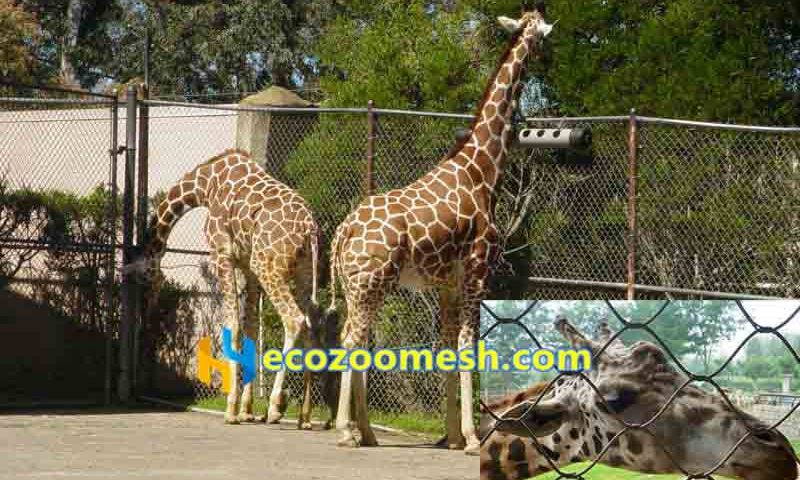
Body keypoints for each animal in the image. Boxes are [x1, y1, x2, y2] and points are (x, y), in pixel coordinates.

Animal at [131, 149, 337, 428]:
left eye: (145, 281)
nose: (147, 312)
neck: (206, 185)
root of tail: (310, 229)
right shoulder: (248, 267)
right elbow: (251, 329)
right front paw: (247, 409)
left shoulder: (223, 254)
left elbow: (233, 326)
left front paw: (231, 410)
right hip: (303, 272)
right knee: (312, 327)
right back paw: (304, 416)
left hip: (269, 267)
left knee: (294, 321)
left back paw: (275, 406)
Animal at [326, 9, 553, 454]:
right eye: (541, 35)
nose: (546, 55)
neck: (482, 170)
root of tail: (343, 231)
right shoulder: (478, 270)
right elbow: (468, 345)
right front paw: (471, 438)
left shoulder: (447, 282)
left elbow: (449, 348)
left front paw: (450, 436)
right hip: (371, 282)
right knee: (351, 340)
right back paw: (347, 431)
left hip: (357, 286)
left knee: (358, 339)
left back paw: (368, 433)